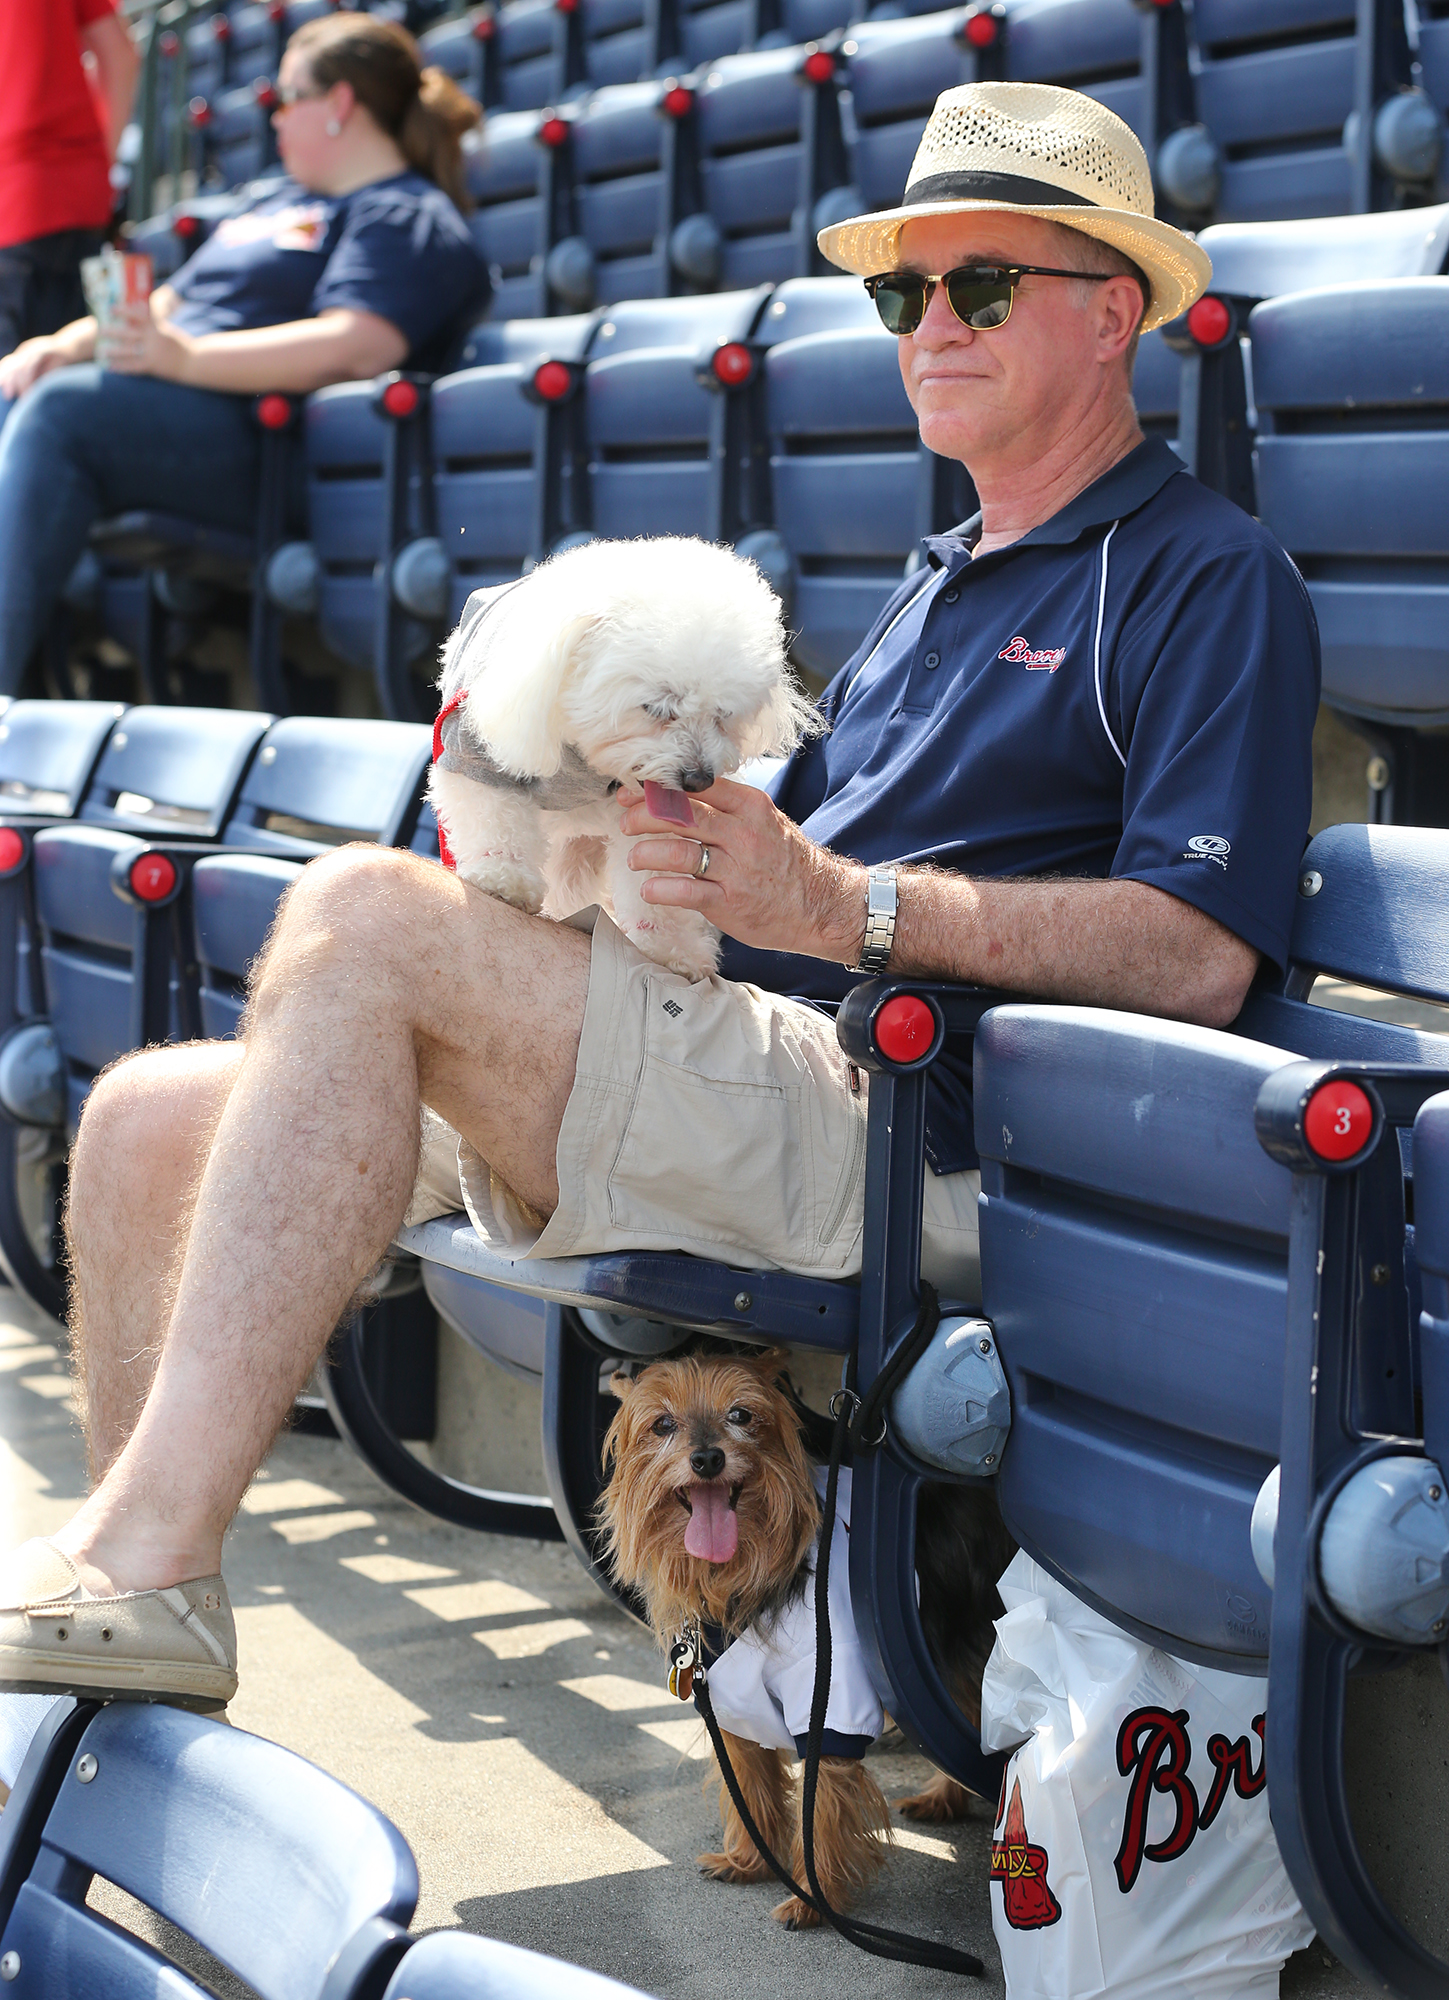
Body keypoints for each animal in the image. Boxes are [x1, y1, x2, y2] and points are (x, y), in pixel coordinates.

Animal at [428, 536, 816, 980]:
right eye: (657, 707)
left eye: (723, 714)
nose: (698, 779)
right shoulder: (476, 750)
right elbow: (494, 810)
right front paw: (503, 877)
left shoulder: (649, 821)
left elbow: (653, 880)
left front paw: (671, 947)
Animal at [592, 1344, 1012, 1920]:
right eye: (662, 1425)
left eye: (741, 1415)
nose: (707, 1459)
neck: (740, 1576)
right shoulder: (727, 1694)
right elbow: (751, 1782)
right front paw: (750, 1860)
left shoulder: (829, 1690)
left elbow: (822, 1802)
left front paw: (814, 1899)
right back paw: (941, 1798)